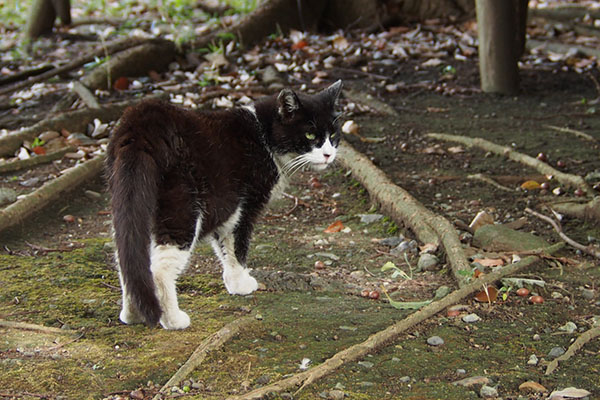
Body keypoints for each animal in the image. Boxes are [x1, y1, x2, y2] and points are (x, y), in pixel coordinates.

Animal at [106, 79, 342, 330]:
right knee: (159, 268)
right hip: (182, 204)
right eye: (310, 134)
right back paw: (172, 319)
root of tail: (139, 127)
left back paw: (132, 314)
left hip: (129, 200)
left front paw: (233, 282)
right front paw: (241, 283)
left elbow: (224, 247)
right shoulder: (243, 205)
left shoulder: (226, 207)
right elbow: (237, 246)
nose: (328, 154)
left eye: (333, 134)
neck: (263, 136)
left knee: (129, 257)